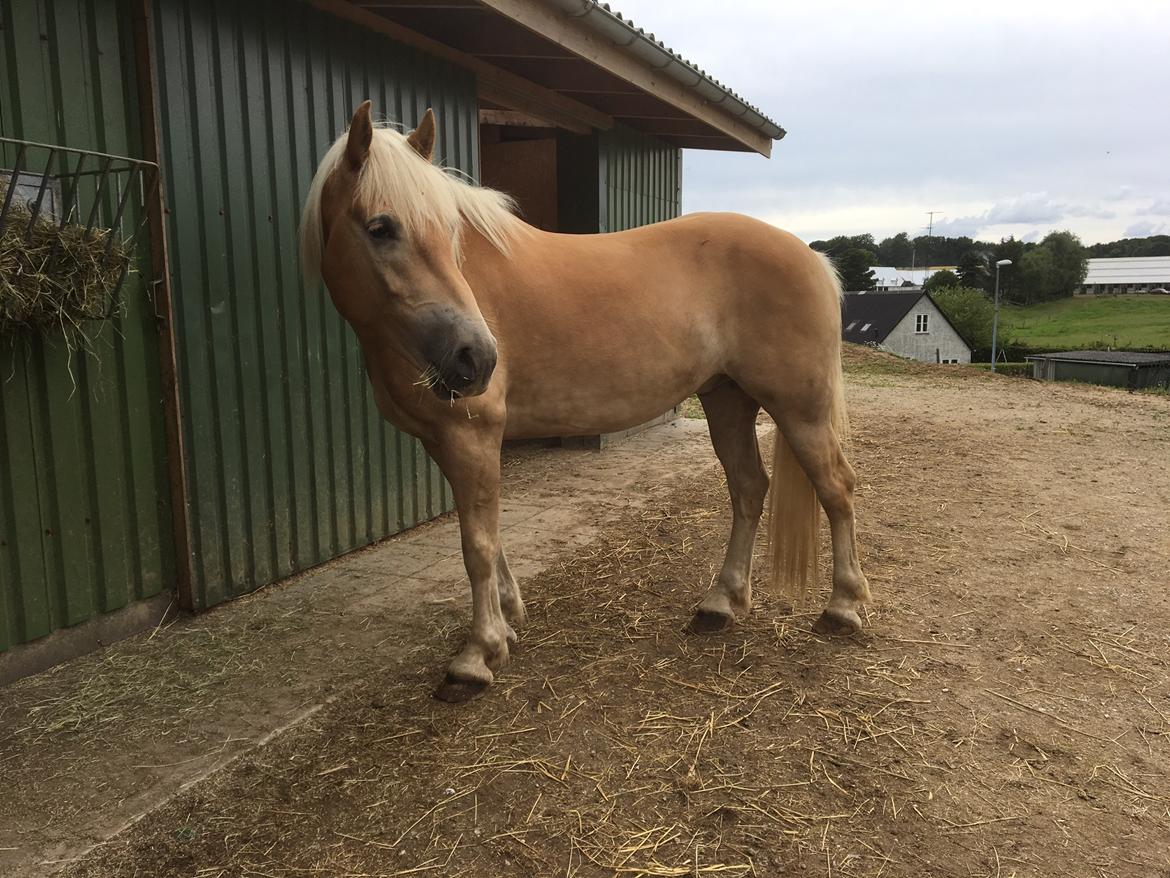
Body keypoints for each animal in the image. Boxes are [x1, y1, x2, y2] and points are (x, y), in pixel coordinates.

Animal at [301, 103, 870, 707]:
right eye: (380, 228)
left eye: (450, 233)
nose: (476, 358)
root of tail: (811, 257)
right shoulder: (447, 442)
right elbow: (488, 535)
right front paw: (508, 620)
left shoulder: (471, 435)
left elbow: (477, 544)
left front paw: (477, 656)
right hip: (726, 400)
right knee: (748, 489)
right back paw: (721, 604)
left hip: (800, 410)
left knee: (836, 488)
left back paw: (843, 607)